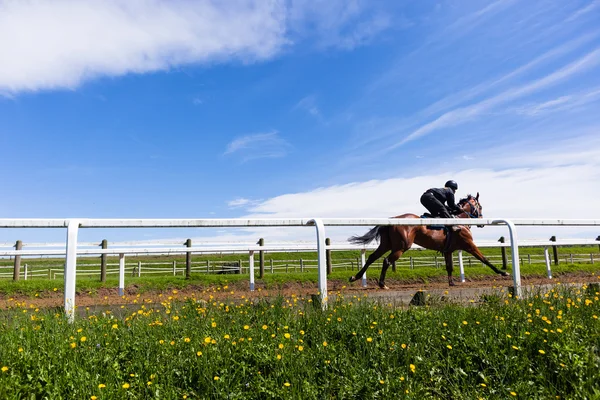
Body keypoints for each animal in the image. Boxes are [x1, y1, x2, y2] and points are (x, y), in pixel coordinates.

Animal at [350, 193, 508, 290]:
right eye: (480, 207)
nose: (482, 221)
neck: (460, 221)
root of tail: (392, 220)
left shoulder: (448, 250)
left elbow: (449, 267)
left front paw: (452, 283)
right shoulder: (469, 245)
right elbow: (485, 259)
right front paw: (503, 273)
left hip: (386, 244)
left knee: (372, 257)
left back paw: (355, 277)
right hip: (401, 247)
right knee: (386, 261)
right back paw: (382, 284)